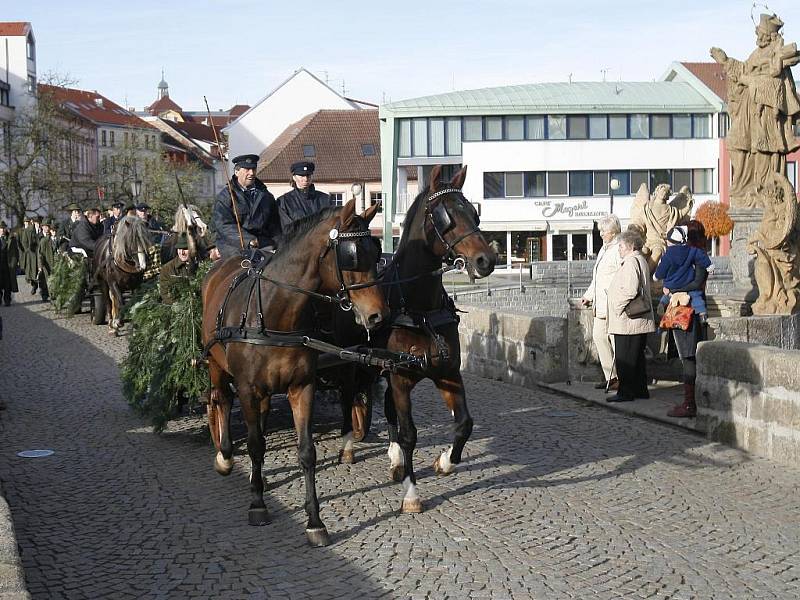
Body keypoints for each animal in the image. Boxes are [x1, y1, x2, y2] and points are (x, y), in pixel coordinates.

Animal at [200, 199, 388, 548]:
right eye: (352, 255)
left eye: (377, 251)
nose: (378, 315)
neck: (273, 314)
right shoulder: (247, 387)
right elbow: (256, 444)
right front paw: (257, 504)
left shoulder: (302, 387)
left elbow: (306, 452)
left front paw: (315, 521)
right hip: (216, 366)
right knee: (221, 400)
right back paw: (225, 455)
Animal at [368, 164, 494, 510]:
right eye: (445, 217)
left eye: (474, 214)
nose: (486, 260)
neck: (420, 310)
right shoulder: (399, 377)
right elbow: (409, 433)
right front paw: (411, 492)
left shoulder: (447, 372)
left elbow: (464, 423)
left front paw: (446, 461)